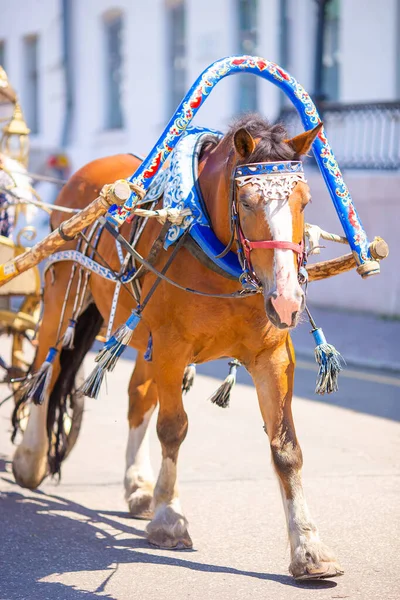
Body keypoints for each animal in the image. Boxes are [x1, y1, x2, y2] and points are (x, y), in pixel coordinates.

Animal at [12, 115, 344, 580]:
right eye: (246, 201)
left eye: (306, 200)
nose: (286, 299)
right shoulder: (171, 348)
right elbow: (173, 428)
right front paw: (169, 518)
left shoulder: (272, 356)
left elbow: (286, 448)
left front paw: (309, 547)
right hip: (64, 297)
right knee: (49, 369)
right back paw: (31, 457)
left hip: (142, 336)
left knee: (137, 398)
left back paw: (138, 486)